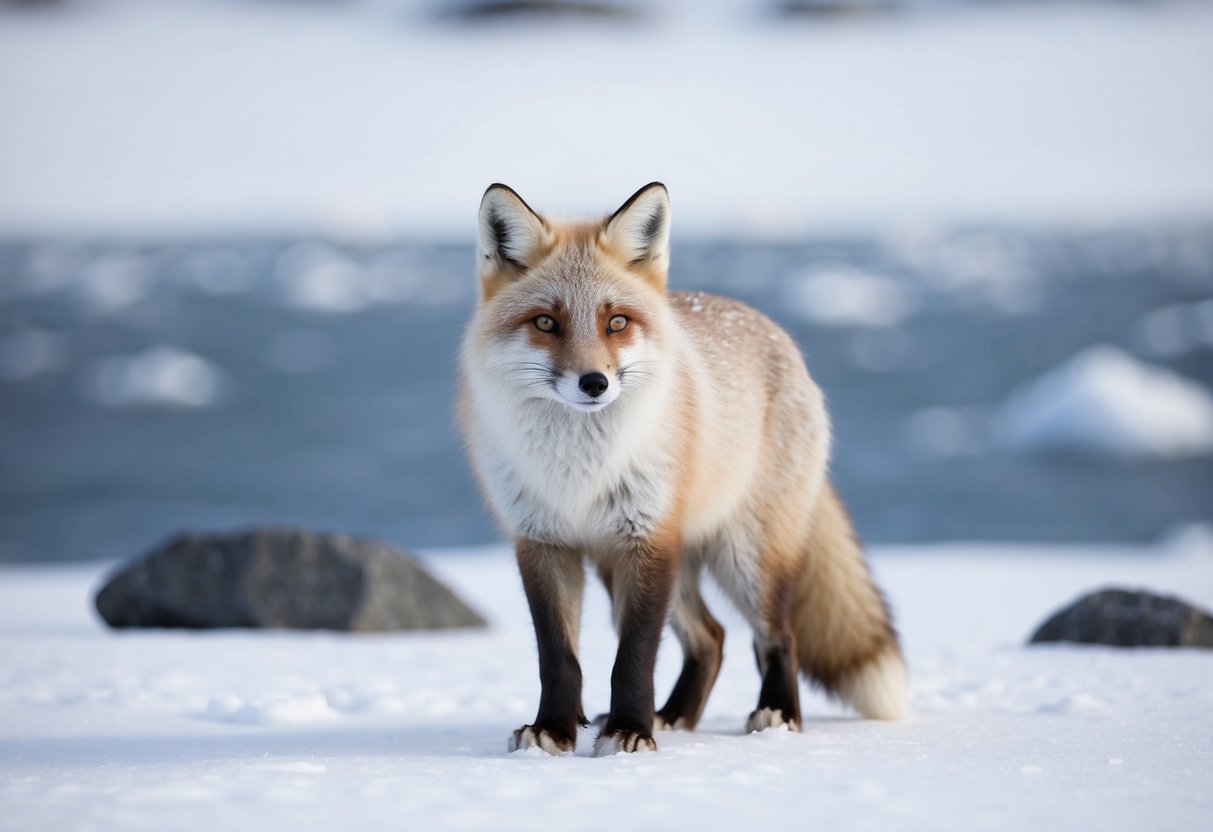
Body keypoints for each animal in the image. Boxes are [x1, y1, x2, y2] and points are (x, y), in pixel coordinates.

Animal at [459, 182, 907, 756]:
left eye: (616, 322)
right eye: (545, 323)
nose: (594, 383)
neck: (579, 470)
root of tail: (774, 331)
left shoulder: (649, 541)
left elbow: (633, 658)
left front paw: (630, 731)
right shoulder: (542, 542)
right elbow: (558, 658)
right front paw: (554, 730)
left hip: (743, 556)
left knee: (777, 636)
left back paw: (778, 715)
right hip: (631, 569)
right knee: (712, 638)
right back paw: (674, 715)